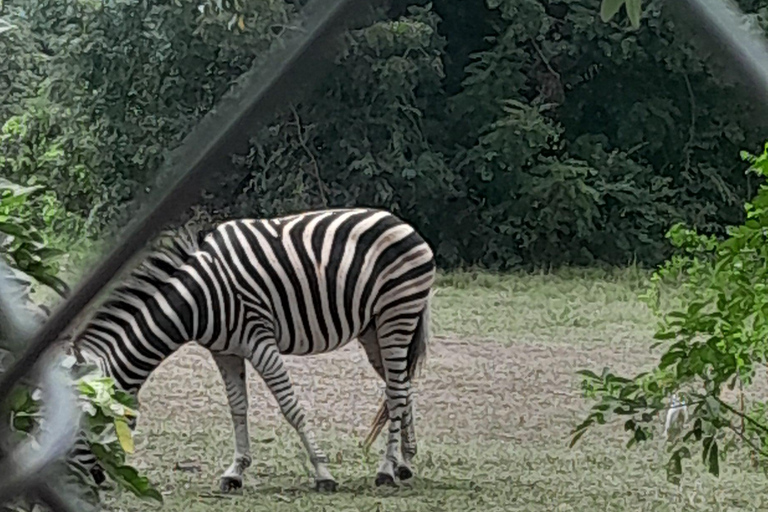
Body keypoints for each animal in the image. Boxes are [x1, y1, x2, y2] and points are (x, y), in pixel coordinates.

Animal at [63, 208, 436, 492]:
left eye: (84, 423)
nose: (88, 481)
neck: (195, 300)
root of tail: (401, 222)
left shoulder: (259, 340)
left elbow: (291, 408)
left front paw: (323, 473)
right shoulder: (225, 351)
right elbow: (237, 408)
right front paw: (235, 471)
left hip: (396, 315)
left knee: (396, 392)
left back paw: (386, 470)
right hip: (373, 329)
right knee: (401, 387)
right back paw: (405, 462)